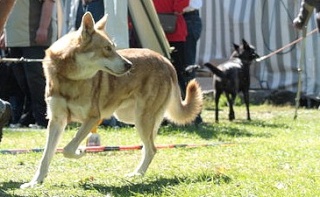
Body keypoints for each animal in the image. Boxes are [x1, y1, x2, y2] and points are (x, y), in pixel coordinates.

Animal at [21, 12, 202, 188]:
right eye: (107, 48)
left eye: (114, 48)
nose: (129, 65)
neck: (70, 78)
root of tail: (165, 60)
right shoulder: (56, 121)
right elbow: (46, 156)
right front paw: (35, 182)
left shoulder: (93, 117)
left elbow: (68, 148)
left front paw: (80, 151)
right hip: (132, 117)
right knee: (149, 146)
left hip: (141, 119)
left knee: (152, 149)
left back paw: (137, 174)